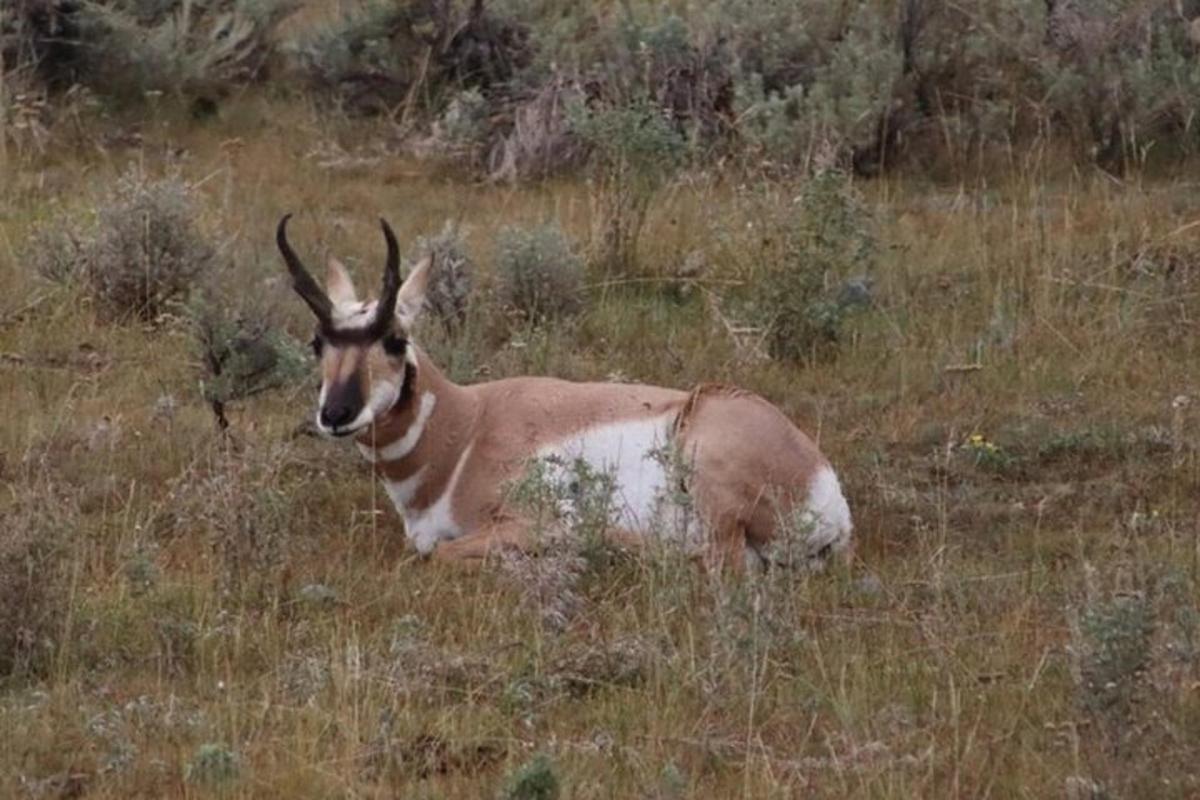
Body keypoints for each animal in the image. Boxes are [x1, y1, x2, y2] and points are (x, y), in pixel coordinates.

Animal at [277, 214, 854, 568]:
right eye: (317, 341)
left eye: (395, 339)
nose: (335, 413)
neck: (466, 428)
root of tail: (826, 485)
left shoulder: (523, 525)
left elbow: (436, 553)